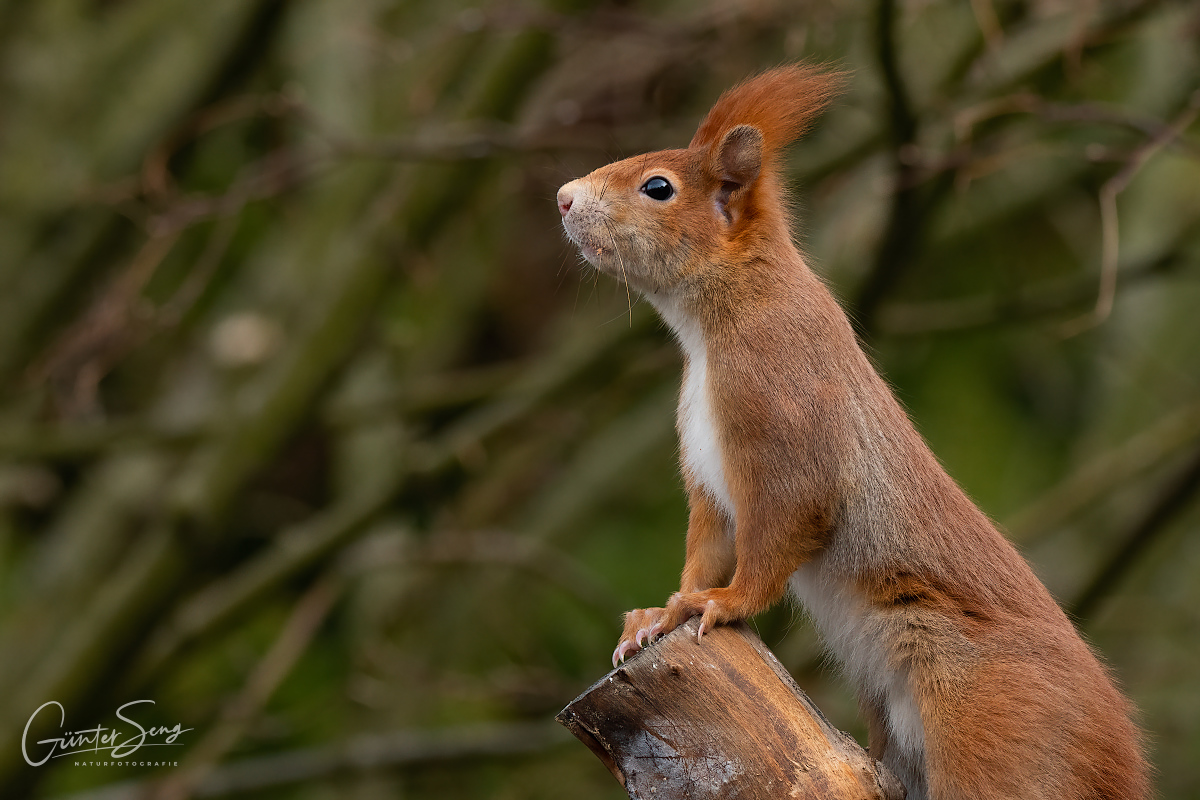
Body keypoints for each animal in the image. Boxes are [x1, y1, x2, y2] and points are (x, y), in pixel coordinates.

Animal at [556, 65, 1147, 800]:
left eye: (658, 187)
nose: (563, 198)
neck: (714, 325)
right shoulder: (710, 479)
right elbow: (708, 544)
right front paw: (662, 614)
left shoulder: (782, 416)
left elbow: (778, 533)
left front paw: (722, 603)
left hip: (986, 722)